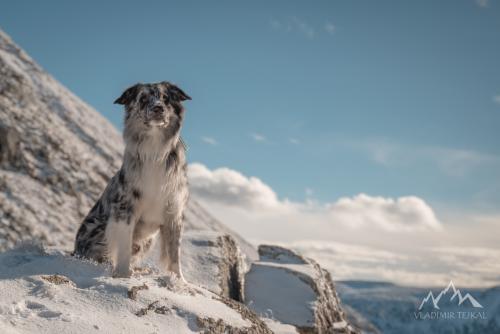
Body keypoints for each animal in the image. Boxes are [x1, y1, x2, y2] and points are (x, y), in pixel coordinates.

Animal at [73, 81, 190, 280]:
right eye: (143, 99)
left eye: (165, 98)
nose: (158, 108)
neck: (154, 150)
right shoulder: (125, 208)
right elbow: (124, 247)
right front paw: (123, 274)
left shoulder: (173, 211)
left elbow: (175, 253)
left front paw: (179, 280)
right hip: (99, 227)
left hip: (147, 240)